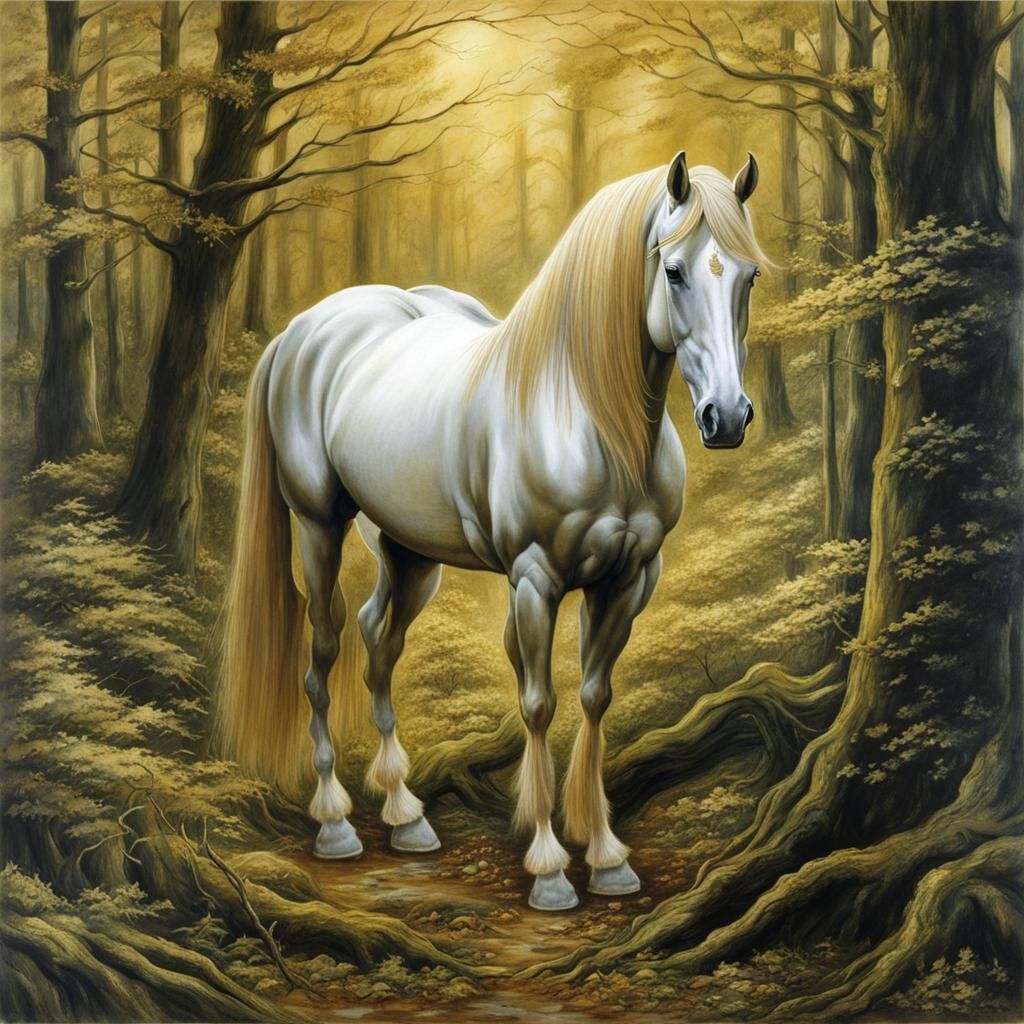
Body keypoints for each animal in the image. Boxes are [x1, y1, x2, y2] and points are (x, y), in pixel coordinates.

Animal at [216, 151, 766, 911]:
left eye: (749, 275)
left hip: (411, 552)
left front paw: (606, 857)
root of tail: (304, 332)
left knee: (379, 638)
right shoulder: (534, 580)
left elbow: (595, 699)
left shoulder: (629, 581)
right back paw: (334, 822)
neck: (588, 415)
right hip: (319, 526)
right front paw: (548, 868)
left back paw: (406, 814)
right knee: (325, 649)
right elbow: (537, 704)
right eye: (675, 270)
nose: (727, 416)